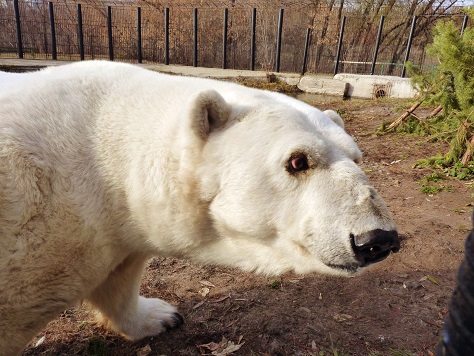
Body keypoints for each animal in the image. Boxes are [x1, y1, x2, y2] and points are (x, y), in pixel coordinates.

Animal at [0, 61, 398, 354]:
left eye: (356, 157)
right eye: (298, 161)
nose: (377, 239)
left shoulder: (115, 227)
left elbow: (119, 277)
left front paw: (161, 315)